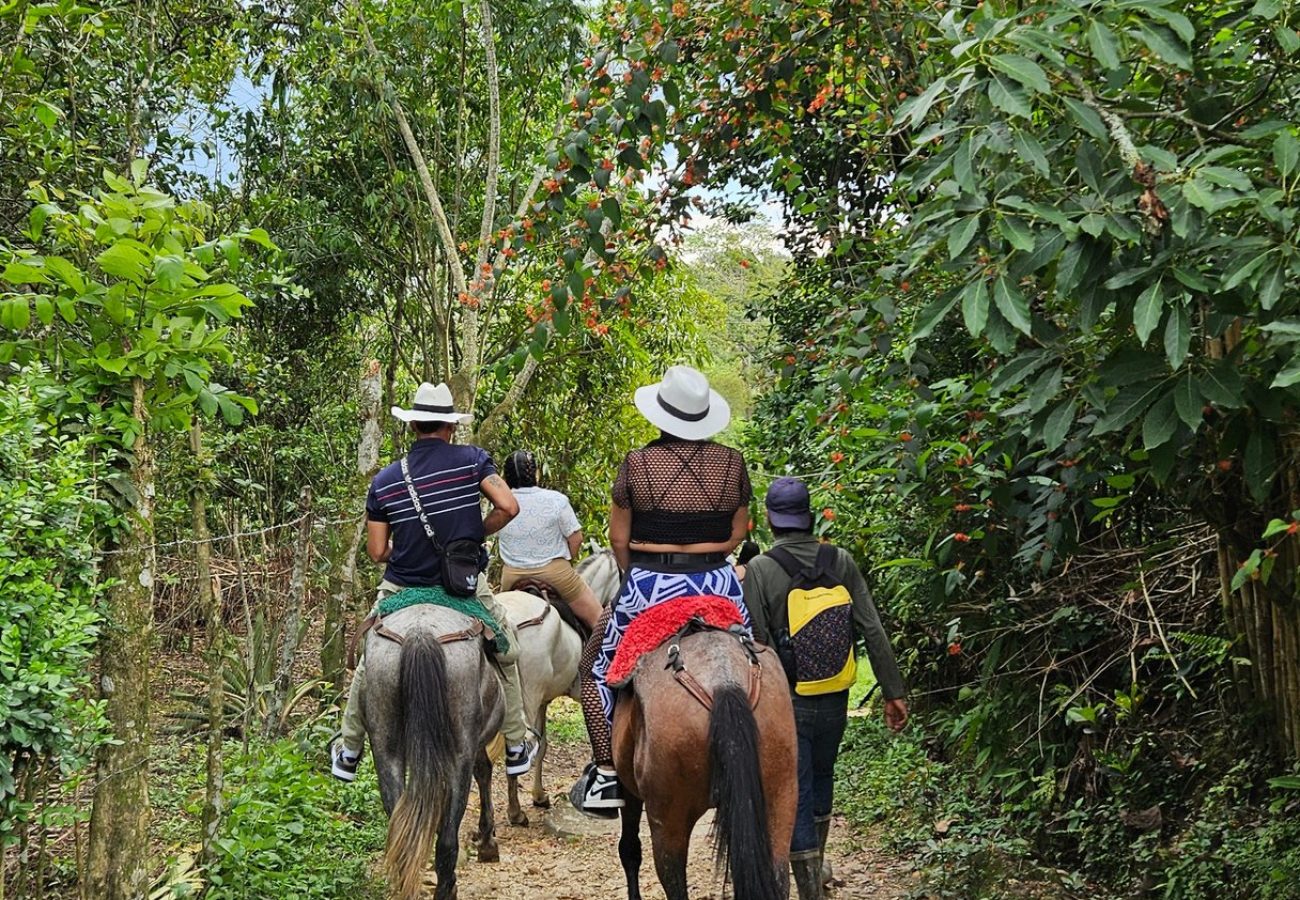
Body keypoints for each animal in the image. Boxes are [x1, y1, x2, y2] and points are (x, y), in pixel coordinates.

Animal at [369, 603, 509, 900]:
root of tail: (420, 635)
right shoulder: (475, 744)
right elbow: (484, 772)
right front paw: (487, 841)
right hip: (459, 752)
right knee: (447, 839)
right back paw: (447, 888)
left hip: (384, 746)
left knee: (400, 823)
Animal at [611, 626, 800, 900]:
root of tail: (723, 681)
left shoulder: (629, 791)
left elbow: (629, 849)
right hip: (781, 795)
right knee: (779, 876)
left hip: (668, 818)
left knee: (674, 883)